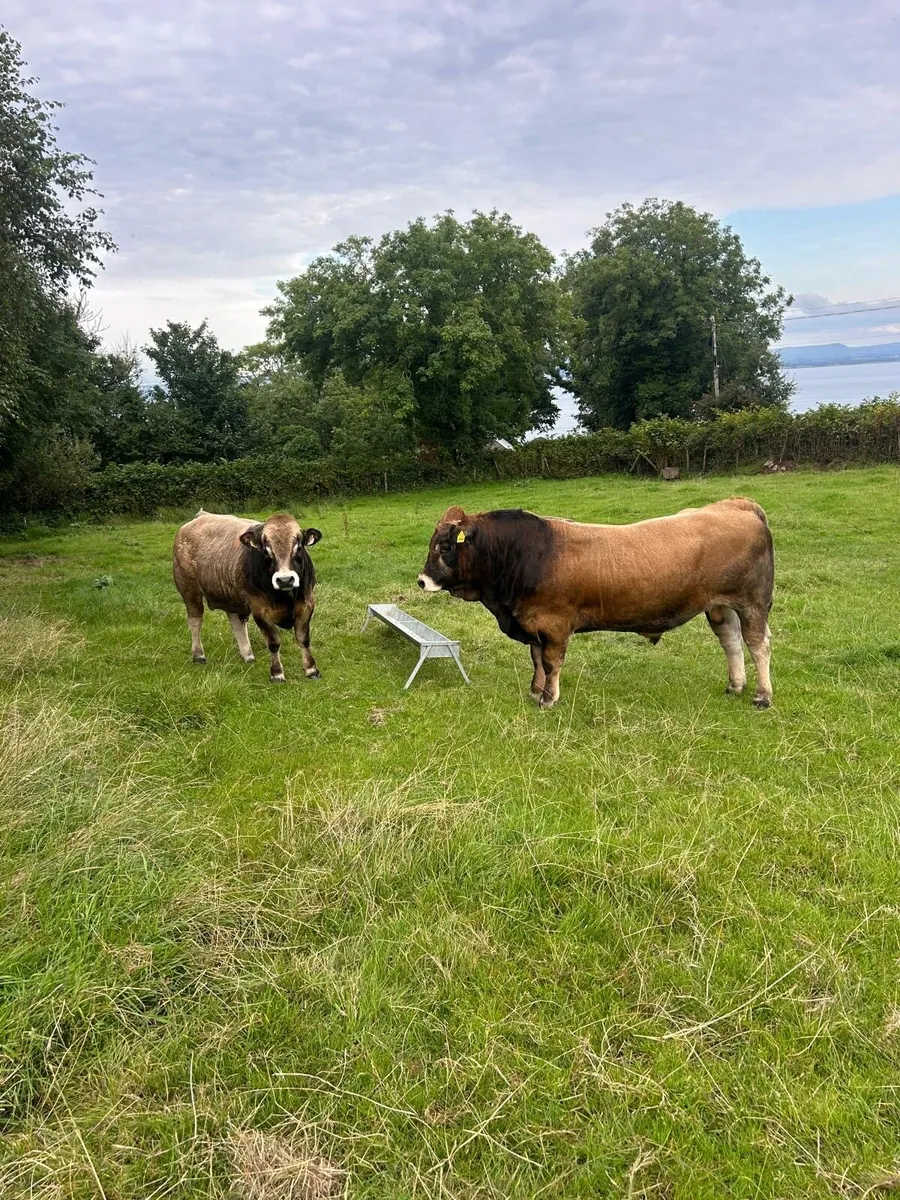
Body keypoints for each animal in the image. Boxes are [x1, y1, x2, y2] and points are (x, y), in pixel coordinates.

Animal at [173, 510, 322, 682]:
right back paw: (198, 654)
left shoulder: (307, 604)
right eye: (266, 549)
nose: (285, 579)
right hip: (189, 590)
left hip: (230, 596)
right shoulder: (259, 609)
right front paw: (277, 673)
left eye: (298, 546)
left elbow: (303, 639)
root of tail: (199, 517)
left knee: (236, 622)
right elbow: (273, 642)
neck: (285, 598)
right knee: (195, 620)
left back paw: (247, 654)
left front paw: (311, 669)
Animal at [417, 498, 774, 710]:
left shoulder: (555, 626)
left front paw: (548, 699)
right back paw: (735, 685)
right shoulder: (532, 624)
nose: (422, 580)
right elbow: (536, 660)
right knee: (731, 642)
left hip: (752, 602)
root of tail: (736, 504)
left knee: (758, 645)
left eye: (446, 545)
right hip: (719, 606)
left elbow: (551, 663)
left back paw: (762, 695)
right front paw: (535, 691)